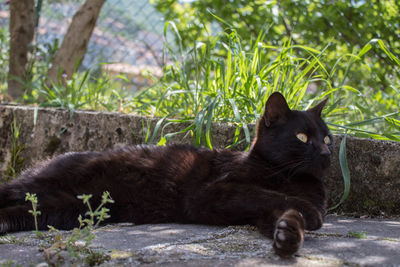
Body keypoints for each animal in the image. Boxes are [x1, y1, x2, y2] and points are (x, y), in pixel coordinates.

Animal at [0, 92, 332, 258]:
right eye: (303, 137)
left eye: (328, 138)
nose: (327, 154)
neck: (291, 177)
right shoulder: (213, 193)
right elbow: (271, 195)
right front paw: (310, 213)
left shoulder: (258, 212)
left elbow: (282, 211)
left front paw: (288, 236)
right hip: (44, 187)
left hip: (64, 208)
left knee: (20, 212)